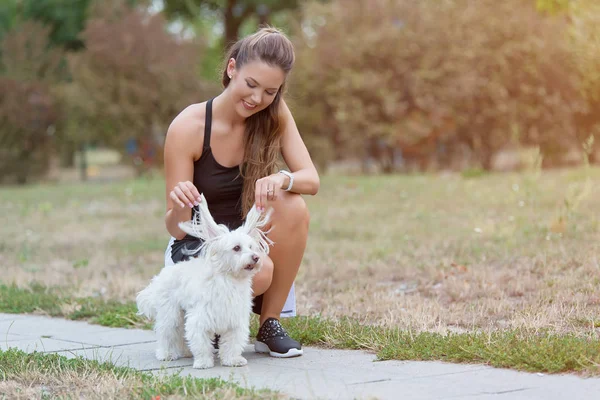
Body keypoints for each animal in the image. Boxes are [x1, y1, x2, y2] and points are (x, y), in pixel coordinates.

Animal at [136, 194, 272, 368]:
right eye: (236, 248)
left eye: (251, 247)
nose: (256, 257)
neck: (228, 280)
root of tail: (163, 274)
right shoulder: (199, 319)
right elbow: (201, 343)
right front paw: (203, 362)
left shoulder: (235, 320)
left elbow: (232, 343)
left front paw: (232, 360)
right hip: (171, 313)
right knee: (167, 333)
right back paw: (166, 353)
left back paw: (185, 352)